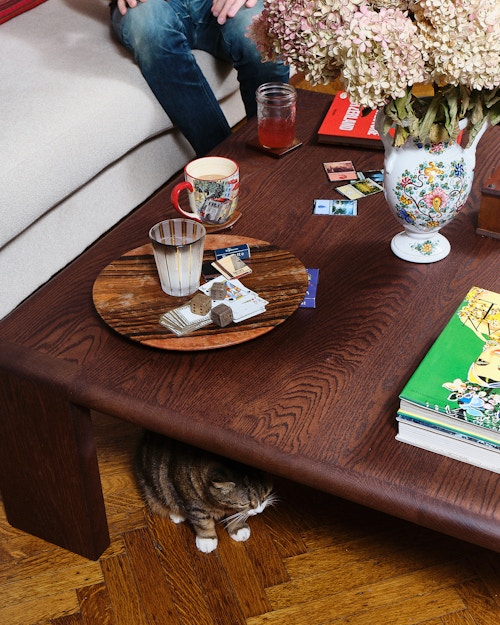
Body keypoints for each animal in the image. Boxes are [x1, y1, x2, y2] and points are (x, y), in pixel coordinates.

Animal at [135, 430, 276, 553]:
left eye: (265, 496)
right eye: (245, 504)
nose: (259, 511)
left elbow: (236, 517)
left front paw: (238, 529)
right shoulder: (195, 508)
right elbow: (203, 523)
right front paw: (207, 540)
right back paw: (177, 514)